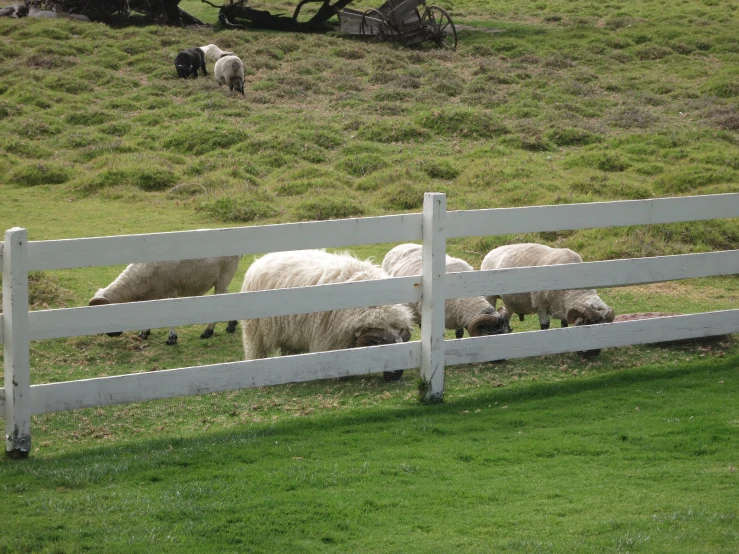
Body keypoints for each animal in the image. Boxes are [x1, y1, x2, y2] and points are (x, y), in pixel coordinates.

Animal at [88, 256, 241, 342]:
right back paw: (231, 325)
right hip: (220, 280)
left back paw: (207, 332)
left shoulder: (169, 293)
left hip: (224, 277)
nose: (112, 335)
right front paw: (144, 333)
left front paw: (172, 338)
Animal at [241, 249, 416, 380]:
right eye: (383, 348)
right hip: (255, 332)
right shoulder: (331, 337)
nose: (396, 375)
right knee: (255, 351)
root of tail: (260, 260)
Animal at [482, 243, 616, 356]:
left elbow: (564, 324)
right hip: (490, 296)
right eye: (586, 325)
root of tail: (492, 251)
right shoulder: (540, 304)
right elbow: (545, 326)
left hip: (509, 302)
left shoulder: (563, 306)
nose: (592, 355)